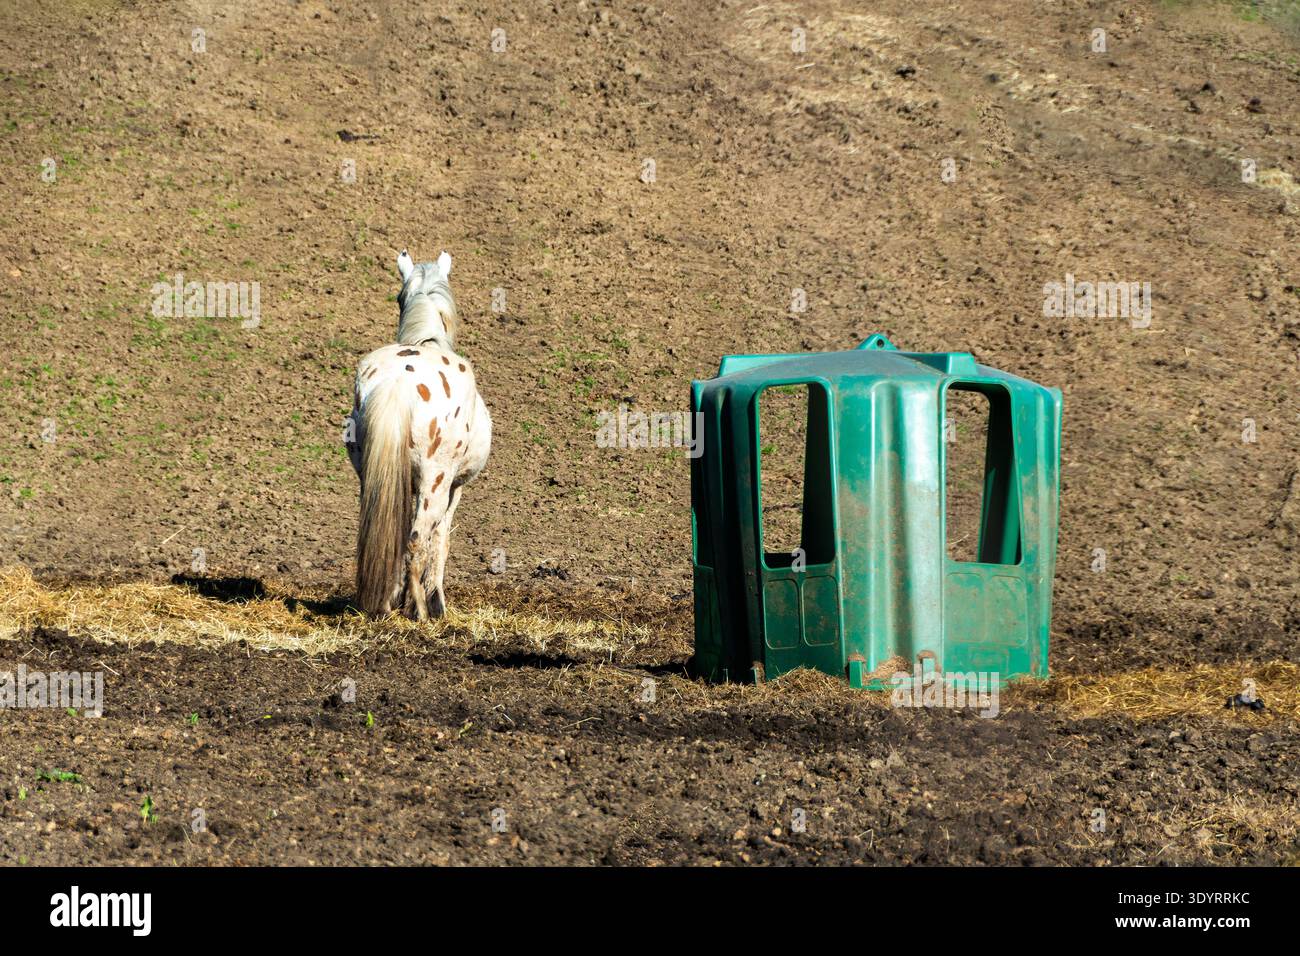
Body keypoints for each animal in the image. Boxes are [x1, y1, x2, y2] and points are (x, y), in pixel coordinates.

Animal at [346, 250, 492, 619]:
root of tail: (400, 380)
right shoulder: (453, 488)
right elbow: (440, 539)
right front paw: (434, 601)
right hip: (435, 482)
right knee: (416, 538)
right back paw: (421, 612)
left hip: (373, 474)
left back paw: (384, 602)